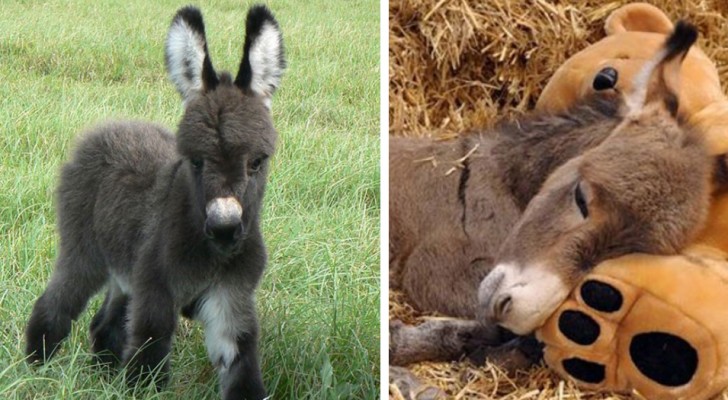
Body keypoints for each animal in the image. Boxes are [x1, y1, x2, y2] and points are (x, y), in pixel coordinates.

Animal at [23, 4, 284, 398]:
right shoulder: (156, 293)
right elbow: (148, 358)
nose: (224, 228)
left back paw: (102, 376)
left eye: (256, 162)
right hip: (85, 253)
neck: (209, 253)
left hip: (124, 270)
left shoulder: (231, 300)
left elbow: (242, 368)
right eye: (195, 161)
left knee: (105, 324)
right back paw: (34, 371)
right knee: (57, 304)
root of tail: (109, 127)